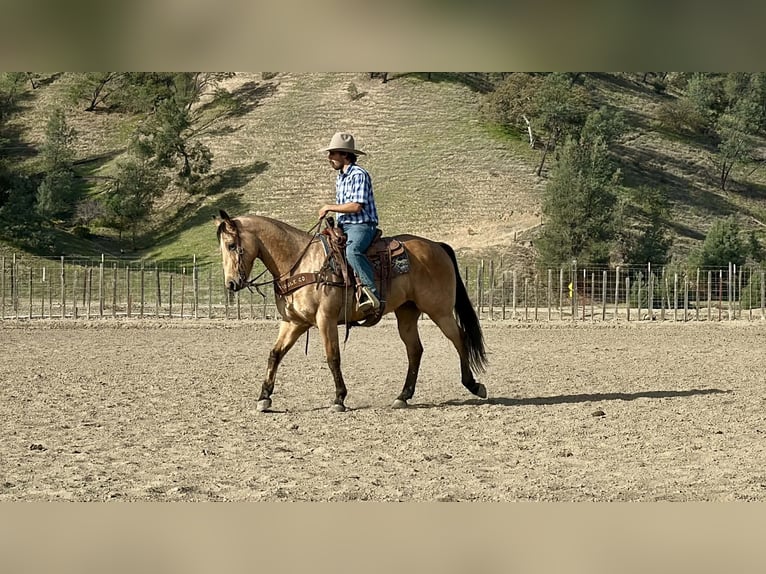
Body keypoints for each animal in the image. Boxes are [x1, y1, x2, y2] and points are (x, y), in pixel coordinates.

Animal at [215, 210, 488, 412]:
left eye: (232, 245)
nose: (231, 284)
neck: (300, 262)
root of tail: (437, 246)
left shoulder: (325, 319)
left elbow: (332, 357)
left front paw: (339, 398)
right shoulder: (294, 322)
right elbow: (275, 354)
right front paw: (264, 397)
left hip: (439, 311)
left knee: (459, 338)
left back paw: (473, 385)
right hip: (407, 313)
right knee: (415, 350)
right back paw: (403, 396)